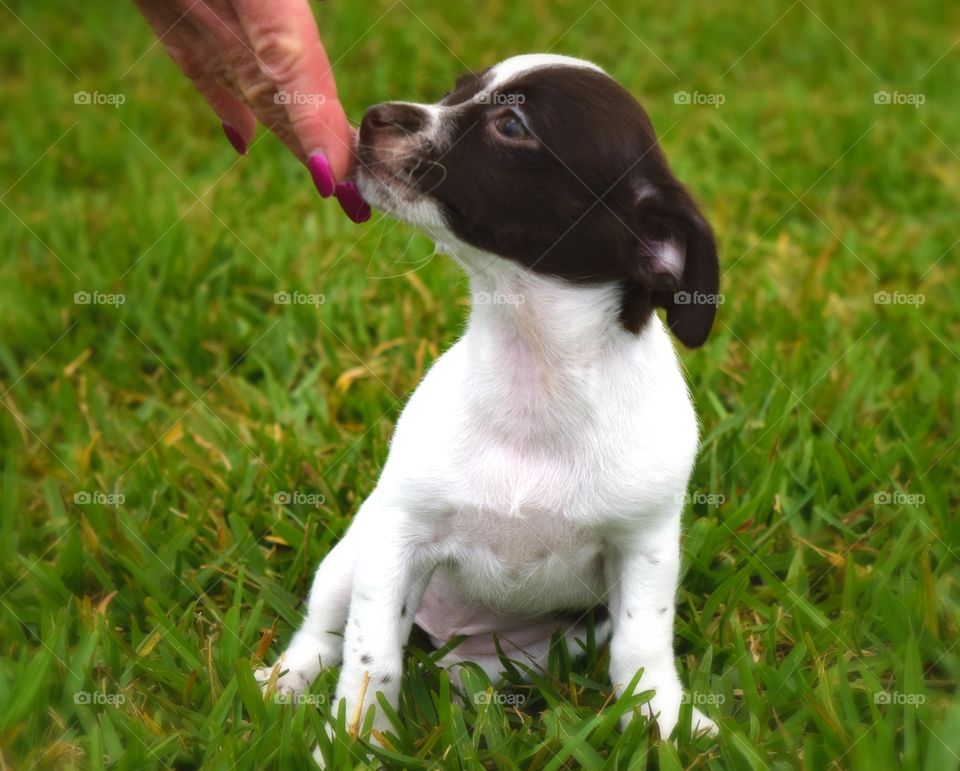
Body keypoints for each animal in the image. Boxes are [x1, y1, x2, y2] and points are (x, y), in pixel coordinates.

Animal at [255, 52, 720, 748]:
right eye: (456, 92)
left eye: (511, 126)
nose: (373, 115)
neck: (534, 371)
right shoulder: (398, 539)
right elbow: (371, 658)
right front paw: (357, 741)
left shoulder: (646, 548)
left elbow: (641, 649)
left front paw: (661, 720)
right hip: (353, 553)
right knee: (324, 633)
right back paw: (283, 684)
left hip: (547, 645)